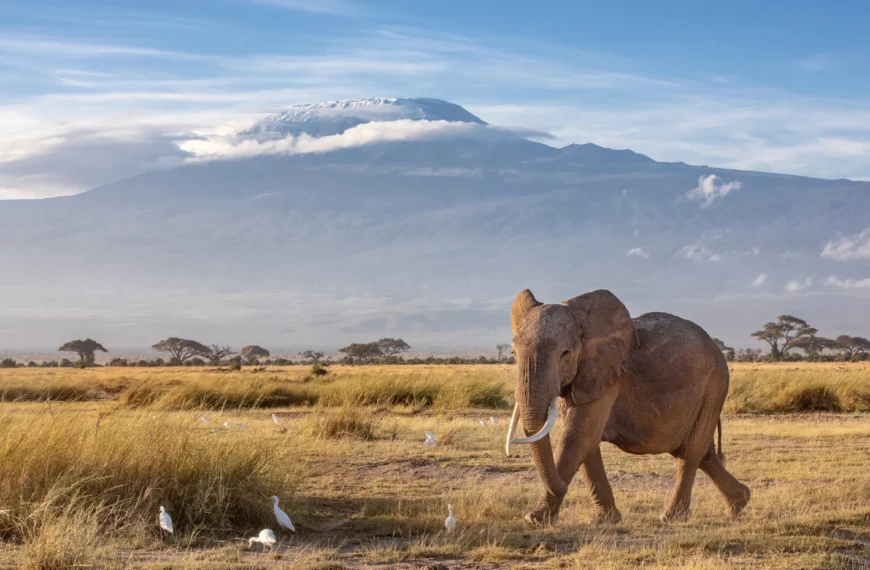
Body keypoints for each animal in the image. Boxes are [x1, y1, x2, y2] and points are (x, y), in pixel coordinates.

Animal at [504, 288, 750, 525]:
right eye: (513, 354)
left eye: (565, 354)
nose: (563, 487)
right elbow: (588, 443)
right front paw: (603, 520)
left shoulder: (608, 375)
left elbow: (578, 437)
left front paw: (534, 519)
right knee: (702, 452)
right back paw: (740, 503)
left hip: (714, 385)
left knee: (690, 453)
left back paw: (671, 517)